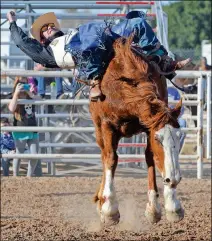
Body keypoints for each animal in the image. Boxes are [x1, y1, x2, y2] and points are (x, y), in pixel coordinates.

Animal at [89, 36, 184, 225]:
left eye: (179, 137)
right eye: (158, 139)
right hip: (99, 130)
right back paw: (102, 201)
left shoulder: (148, 125)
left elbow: (150, 158)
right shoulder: (107, 125)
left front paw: (166, 206)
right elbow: (111, 159)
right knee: (105, 156)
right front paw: (109, 209)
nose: (174, 179)